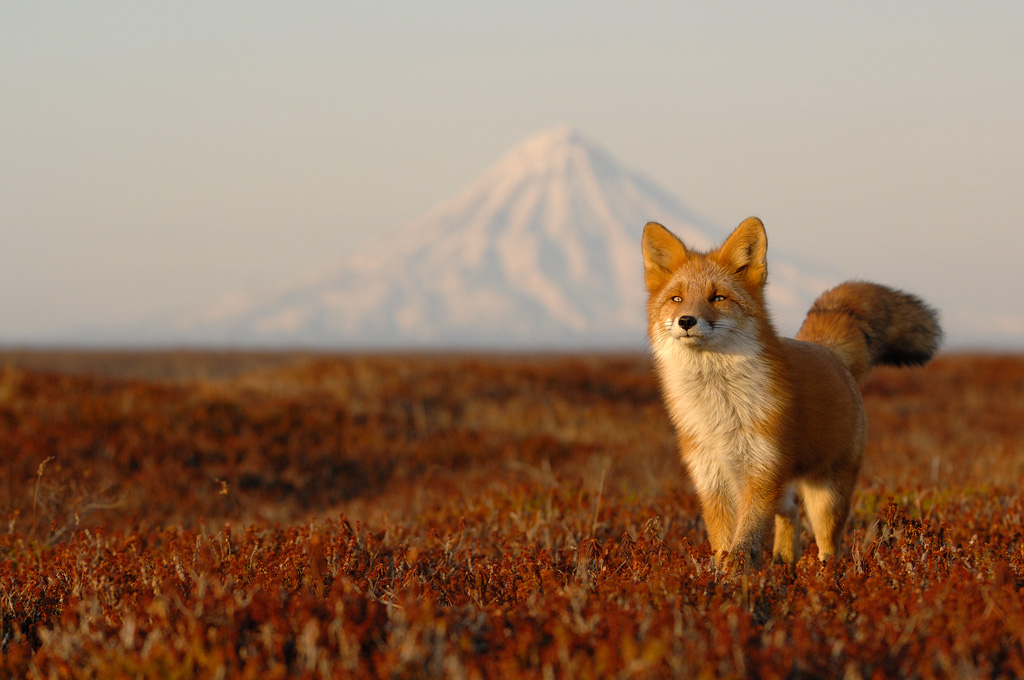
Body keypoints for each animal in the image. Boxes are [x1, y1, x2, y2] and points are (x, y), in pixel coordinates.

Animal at [643, 219, 937, 569]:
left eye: (718, 298)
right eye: (676, 299)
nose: (686, 320)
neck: (720, 408)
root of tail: (826, 349)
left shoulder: (760, 470)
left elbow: (746, 540)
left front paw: (736, 576)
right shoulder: (711, 478)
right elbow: (723, 543)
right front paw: (720, 574)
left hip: (826, 494)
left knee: (828, 544)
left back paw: (824, 575)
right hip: (784, 488)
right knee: (791, 514)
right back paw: (785, 563)